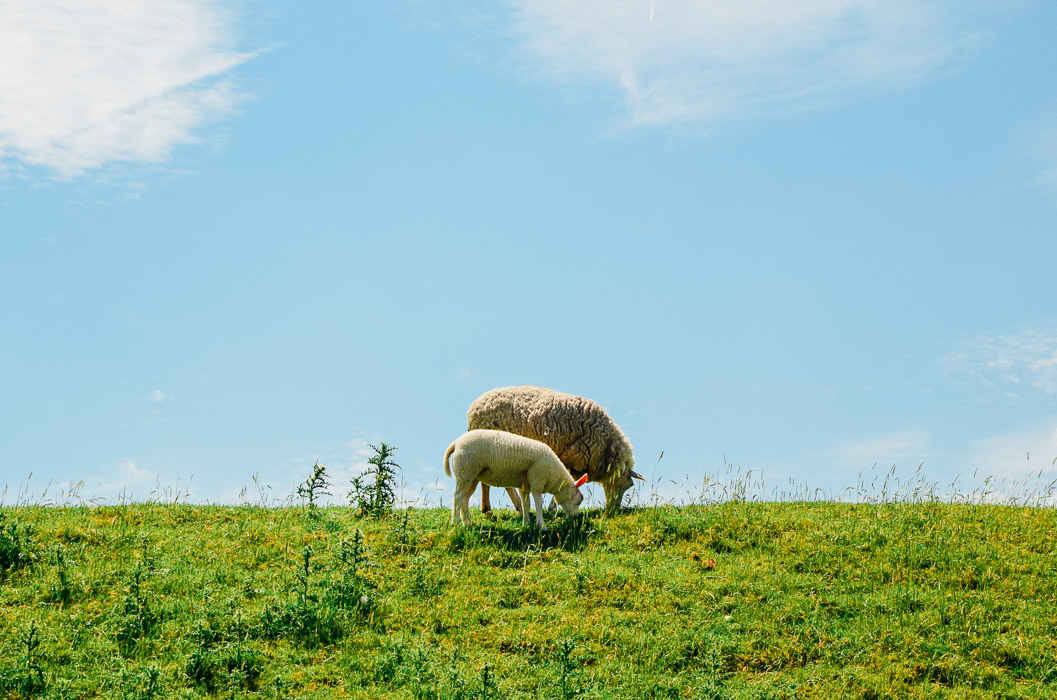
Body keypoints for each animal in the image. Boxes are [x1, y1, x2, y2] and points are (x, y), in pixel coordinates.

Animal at [437, 427, 587, 532]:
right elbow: (538, 503)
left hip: (471, 476)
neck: (555, 476)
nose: (576, 518)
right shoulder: (537, 479)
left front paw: (526, 523)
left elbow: (526, 503)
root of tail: (456, 443)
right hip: (465, 471)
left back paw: (467, 523)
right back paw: (456, 523)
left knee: (465, 499)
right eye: (580, 500)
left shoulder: (525, 484)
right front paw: (541, 526)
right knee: (458, 497)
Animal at [471, 384, 642, 516]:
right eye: (629, 485)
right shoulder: (569, 458)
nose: (613, 510)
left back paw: (496, 508)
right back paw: (500, 509)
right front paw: (552, 508)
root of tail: (474, 408)